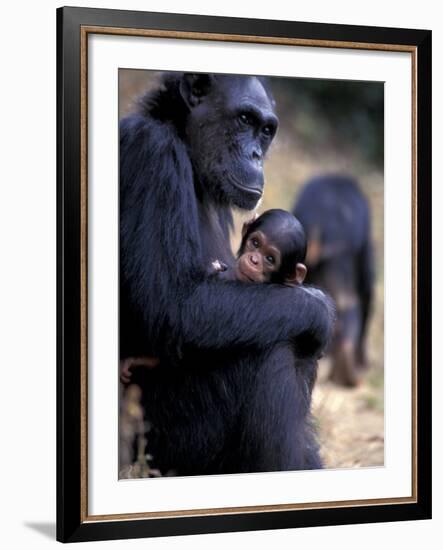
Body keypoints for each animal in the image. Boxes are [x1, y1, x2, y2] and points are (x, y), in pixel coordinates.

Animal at [119, 73, 334, 478]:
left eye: (266, 130)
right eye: (244, 119)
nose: (255, 154)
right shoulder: (152, 154)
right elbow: (175, 307)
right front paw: (320, 308)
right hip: (161, 446)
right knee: (272, 347)